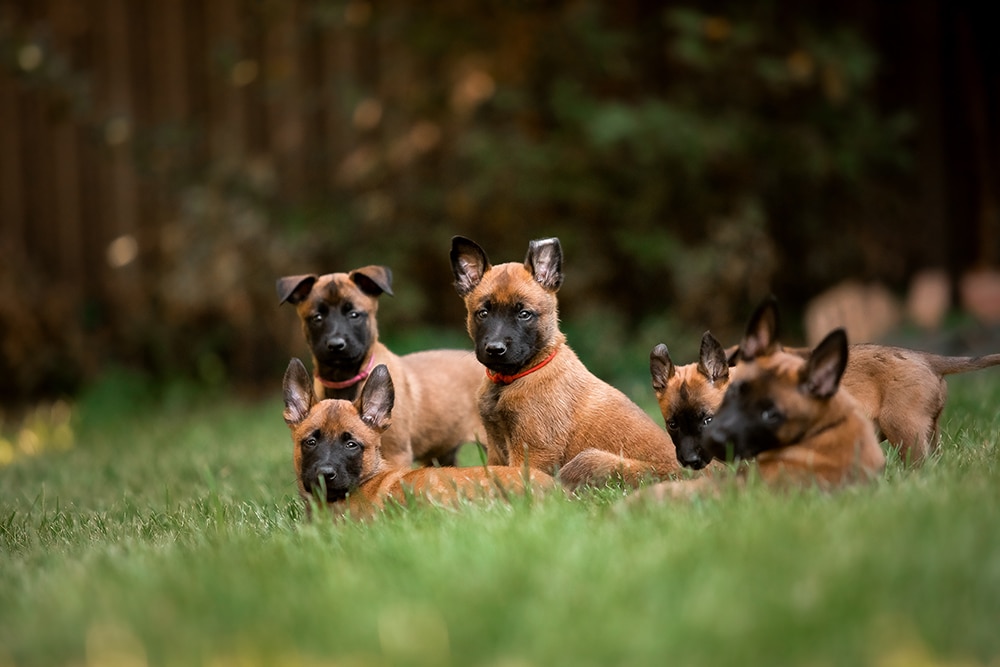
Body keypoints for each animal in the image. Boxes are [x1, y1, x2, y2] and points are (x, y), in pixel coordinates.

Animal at [452, 236, 680, 490]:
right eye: (482, 313)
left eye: (524, 314)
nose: (495, 349)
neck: (514, 377)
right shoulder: (495, 448)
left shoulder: (533, 450)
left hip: (589, 459)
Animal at [648, 298, 1000, 470]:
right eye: (672, 425)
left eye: (708, 420)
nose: (691, 462)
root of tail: (928, 358)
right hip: (928, 430)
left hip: (905, 430)